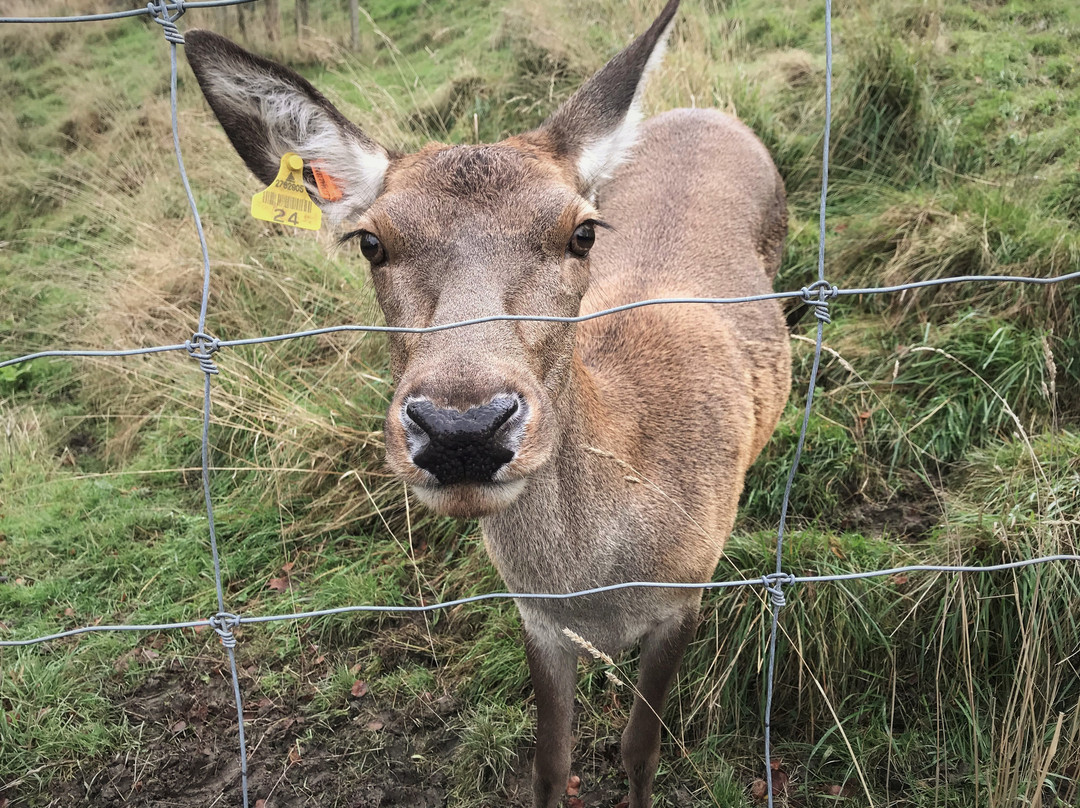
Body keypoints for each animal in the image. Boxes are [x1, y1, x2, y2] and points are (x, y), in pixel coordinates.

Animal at [185, 3, 790, 803]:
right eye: (370, 241)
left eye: (582, 231)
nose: (462, 430)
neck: (596, 586)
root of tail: (705, 110)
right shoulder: (535, 618)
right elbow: (550, 761)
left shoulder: (683, 597)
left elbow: (640, 749)